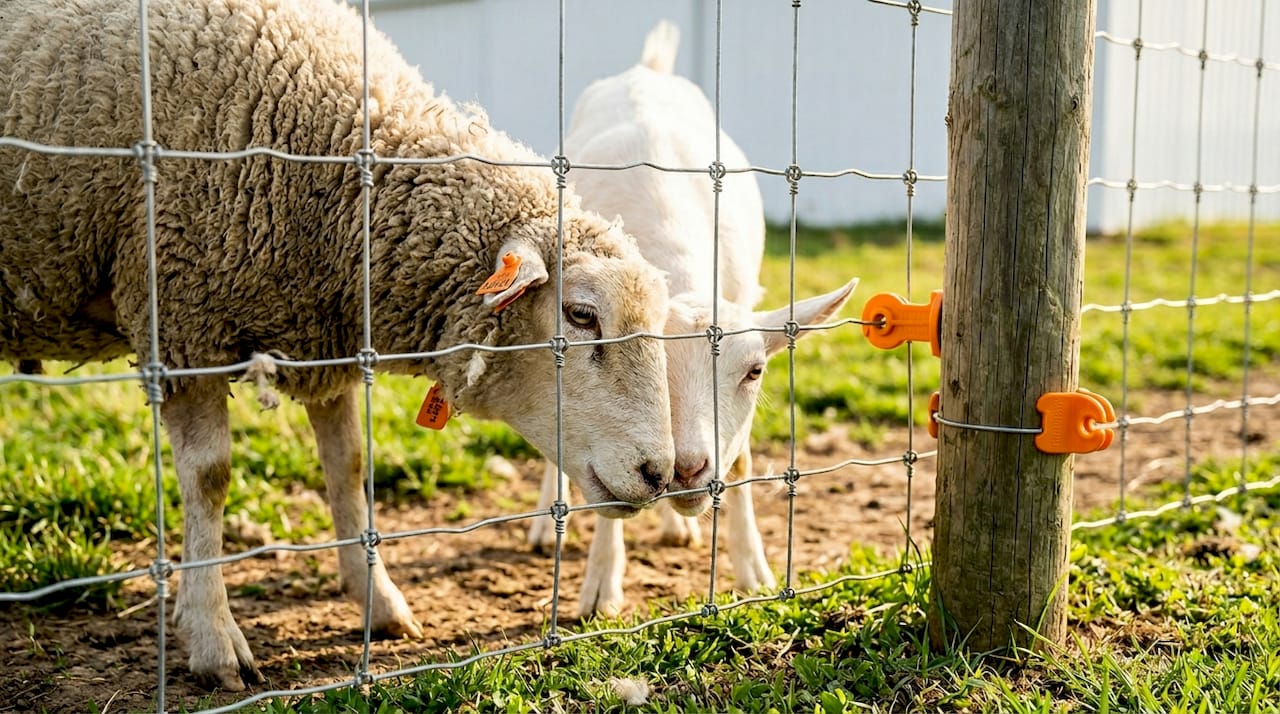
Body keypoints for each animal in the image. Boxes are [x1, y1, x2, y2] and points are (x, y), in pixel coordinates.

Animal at [0, 0, 676, 691]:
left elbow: (348, 465)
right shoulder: (183, 318)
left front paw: (380, 602)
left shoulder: (322, 328)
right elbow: (210, 478)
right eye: (581, 313)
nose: (661, 473)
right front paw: (213, 638)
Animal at [527, 21, 858, 618]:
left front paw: (754, 571)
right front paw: (600, 588)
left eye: (755, 372)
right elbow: (608, 473)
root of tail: (648, 68)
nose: (683, 470)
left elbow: (742, 462)